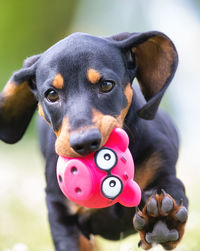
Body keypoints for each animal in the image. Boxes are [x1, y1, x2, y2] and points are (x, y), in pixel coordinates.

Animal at [0, 31, 188, 251]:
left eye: (106, 85)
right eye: (51, 94)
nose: (85, 143)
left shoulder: (166, 175)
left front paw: (163, 221)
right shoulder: (61, 212)